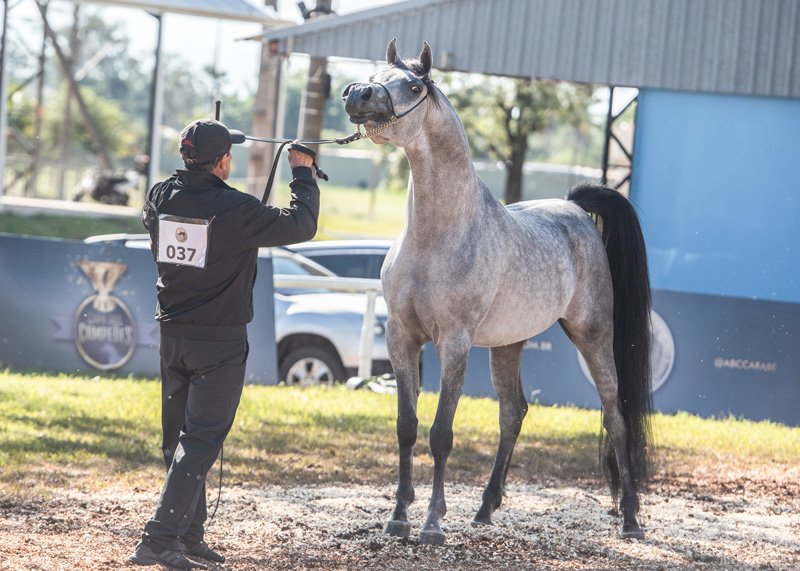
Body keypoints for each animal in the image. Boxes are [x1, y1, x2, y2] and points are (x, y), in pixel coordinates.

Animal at [342, 40, 653, 545]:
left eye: (413, 86)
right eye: (374, 76)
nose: (357, 95)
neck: (436, 236)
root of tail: (574, 209)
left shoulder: (454, 343)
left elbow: (440, 434)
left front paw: (432, 524)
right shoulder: (402, 339)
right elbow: (407, 427)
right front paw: (399, 516)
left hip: (592, 335)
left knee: (616, 417)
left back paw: (629, 519)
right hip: (509, 344)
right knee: (513, 413)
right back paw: (486, 509)